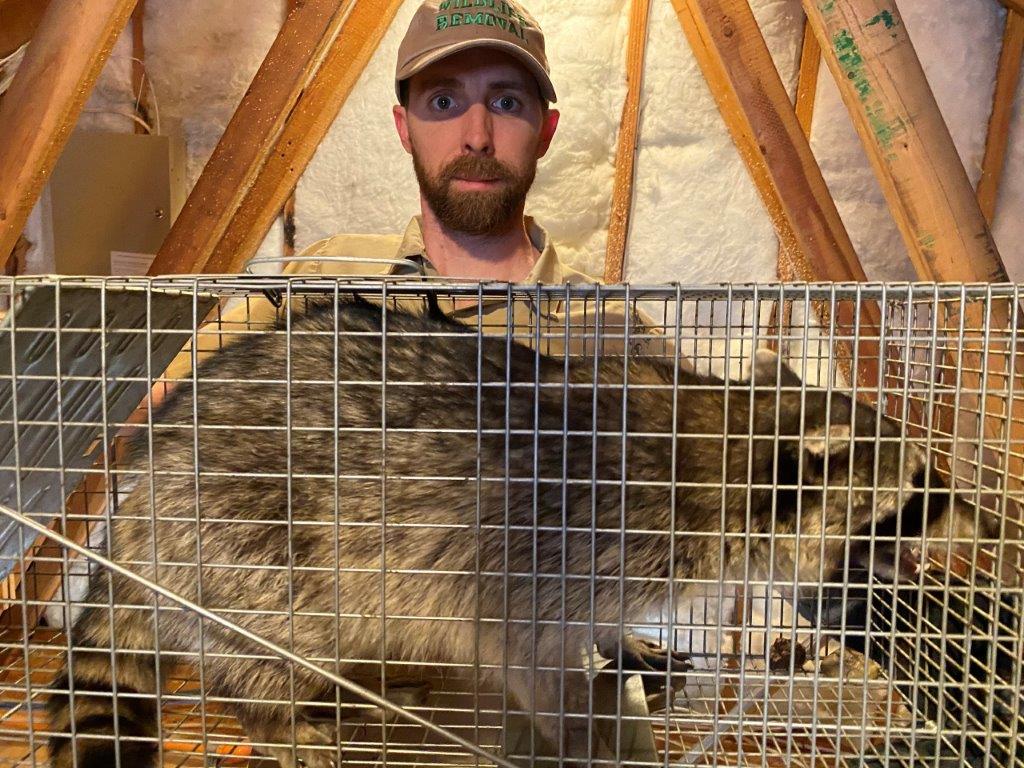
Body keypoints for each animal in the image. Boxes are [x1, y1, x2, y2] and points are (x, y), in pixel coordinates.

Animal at [46, 297, 969, 768]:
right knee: (273, 638)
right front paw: (589, 733)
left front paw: (620, 644)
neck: (727, 436)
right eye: (919, 492)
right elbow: (527, 648)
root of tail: (137, 497)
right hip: (239, 537)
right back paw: (281, 712)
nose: (972, 510)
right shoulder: (563, 538)